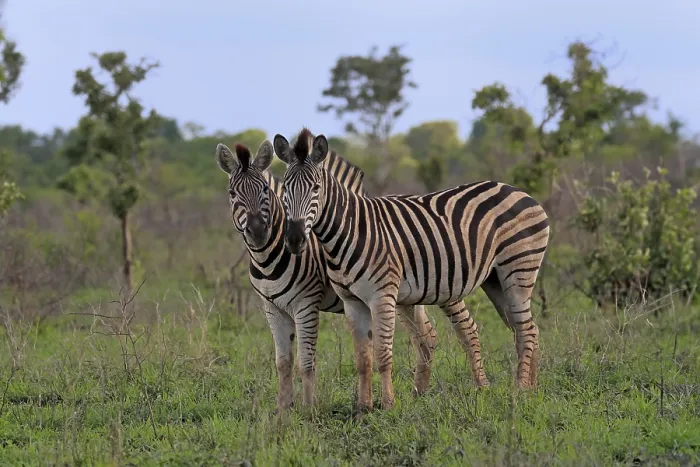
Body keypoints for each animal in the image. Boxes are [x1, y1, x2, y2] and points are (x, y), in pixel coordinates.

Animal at [215, 139, 438, 412]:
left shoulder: (306, 303)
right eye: (232, 194)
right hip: (407, 297)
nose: (257, 232)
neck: (268, 259)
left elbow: (306, 361)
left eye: (266, 190)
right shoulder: (272, 308)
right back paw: (420, 394)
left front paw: (309, 409)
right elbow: (283, 363)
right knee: (426, 337)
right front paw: (283, 409)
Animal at [273, 128, 550, 414]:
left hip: (518, 270)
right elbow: (362, 358)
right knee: (527, 329)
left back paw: (520, 390)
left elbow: (383, 354)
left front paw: (388, 405)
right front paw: (362, 408)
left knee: (525, 330)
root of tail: (517, 191)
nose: (294, 239)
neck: (350, 231)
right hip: (495, 281)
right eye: (285, 189)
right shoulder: (352, 301)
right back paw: (532, 388)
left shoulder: (382, 296)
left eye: (316, 188)